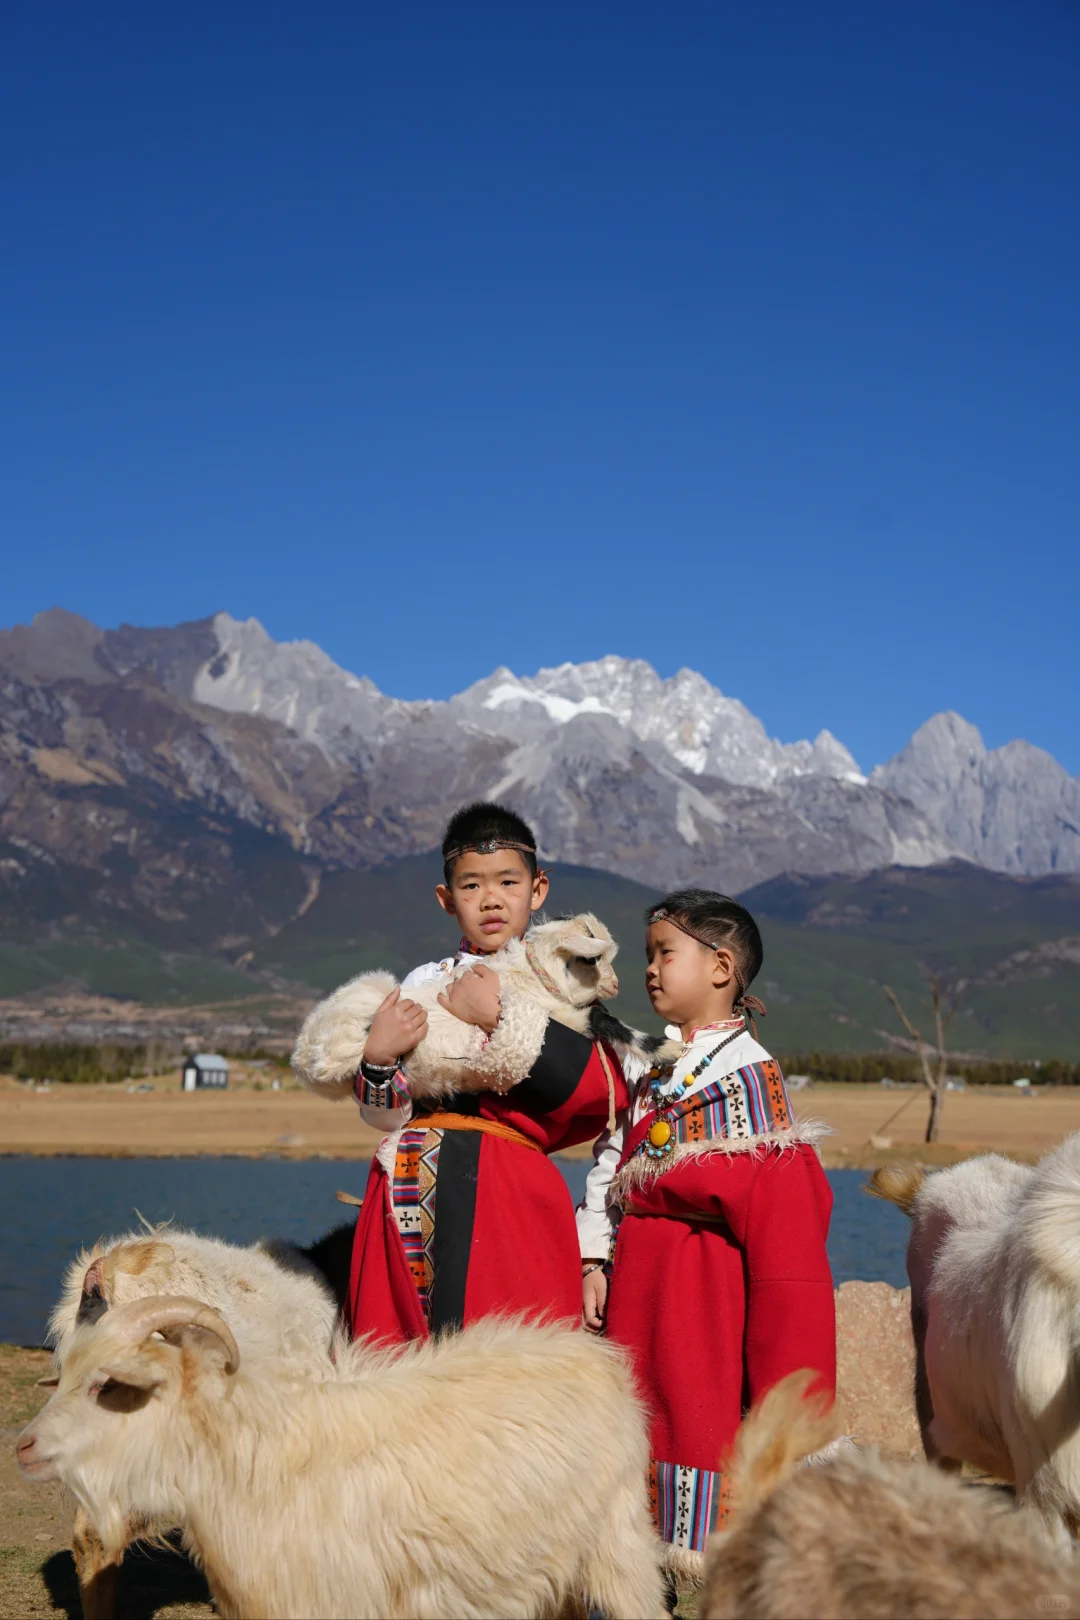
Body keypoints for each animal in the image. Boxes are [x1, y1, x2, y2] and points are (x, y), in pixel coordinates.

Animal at [289, 913, 676, 1101]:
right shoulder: (557, 1018)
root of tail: (302, 1055)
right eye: (591, 959)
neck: (532, 977)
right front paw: (668, 1049)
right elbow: (603, 1018)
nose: (616, 984)